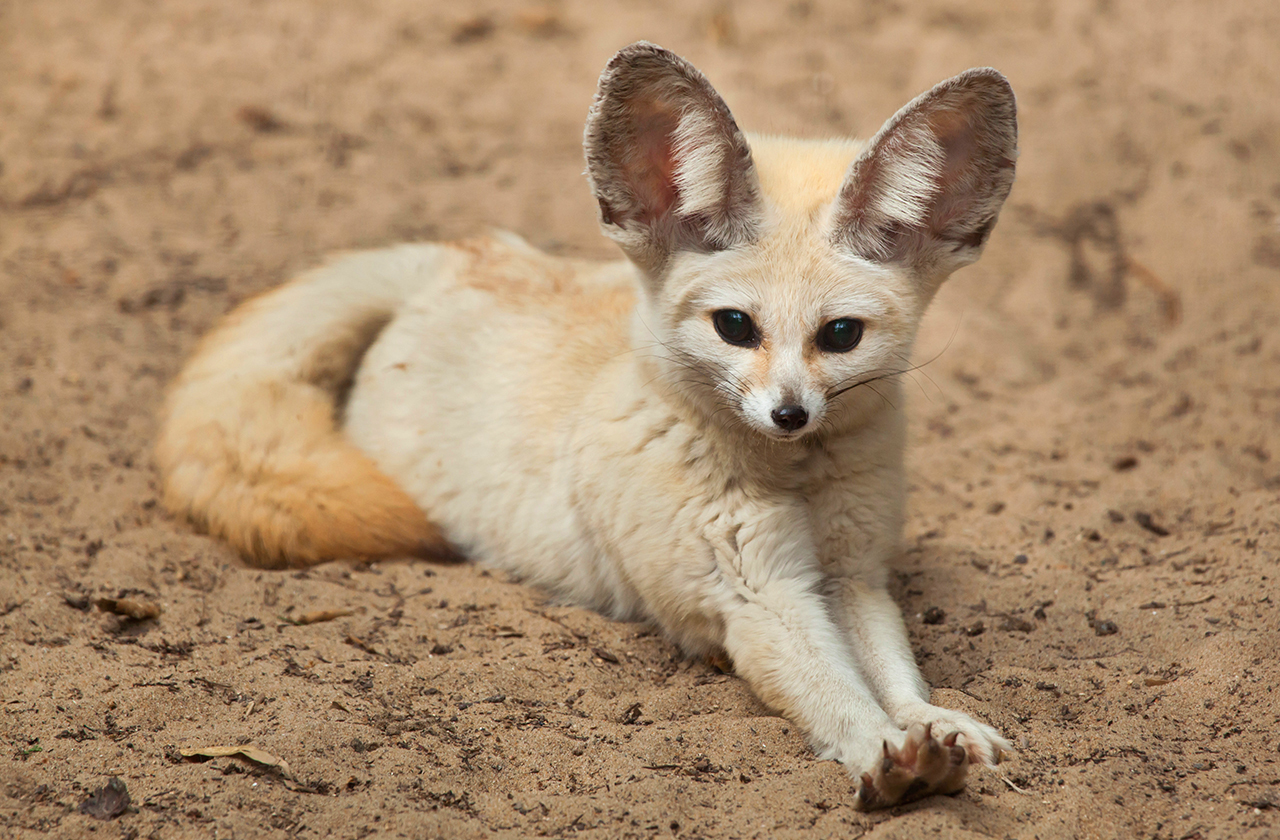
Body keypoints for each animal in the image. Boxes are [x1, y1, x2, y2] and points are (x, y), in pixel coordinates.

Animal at [160, 44, 1018, 809]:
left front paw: (932, 725)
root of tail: (461, 252)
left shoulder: (853, 572)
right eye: (735, 327)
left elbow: (894, 671)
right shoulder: (751, 595)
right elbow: (834, 690)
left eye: (839, 335)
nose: (788, 414)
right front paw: (883, 750)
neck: (794, 480)